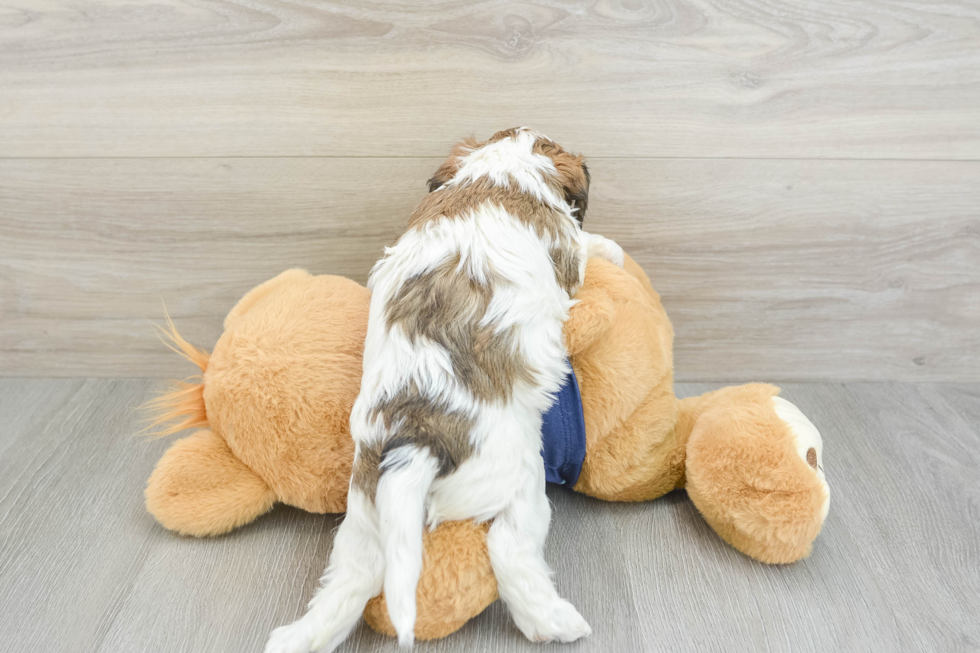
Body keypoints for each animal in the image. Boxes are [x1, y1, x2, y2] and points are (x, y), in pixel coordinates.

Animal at [264, 129, 624, 652]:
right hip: (519, 480)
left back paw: (296, 638)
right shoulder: (566, 249)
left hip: (365, 516)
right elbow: (584, 247)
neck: (497, 171)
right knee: (510, 548)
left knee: (351, 579)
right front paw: (611, 248)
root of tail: (417, 439)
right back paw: (556, 623)